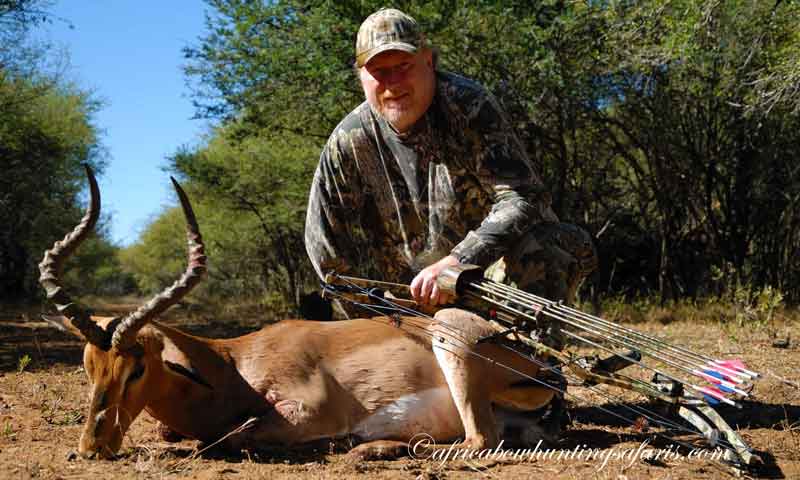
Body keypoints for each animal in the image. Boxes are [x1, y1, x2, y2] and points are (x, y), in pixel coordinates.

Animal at [40, 167, 557, 460]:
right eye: (88, 366)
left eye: (137, 367)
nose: (91, 448)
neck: (233, 366)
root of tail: (542, 368)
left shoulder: (306, 410)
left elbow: (227, 438)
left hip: (452, 348)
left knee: (479, 440)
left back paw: (363, 447)